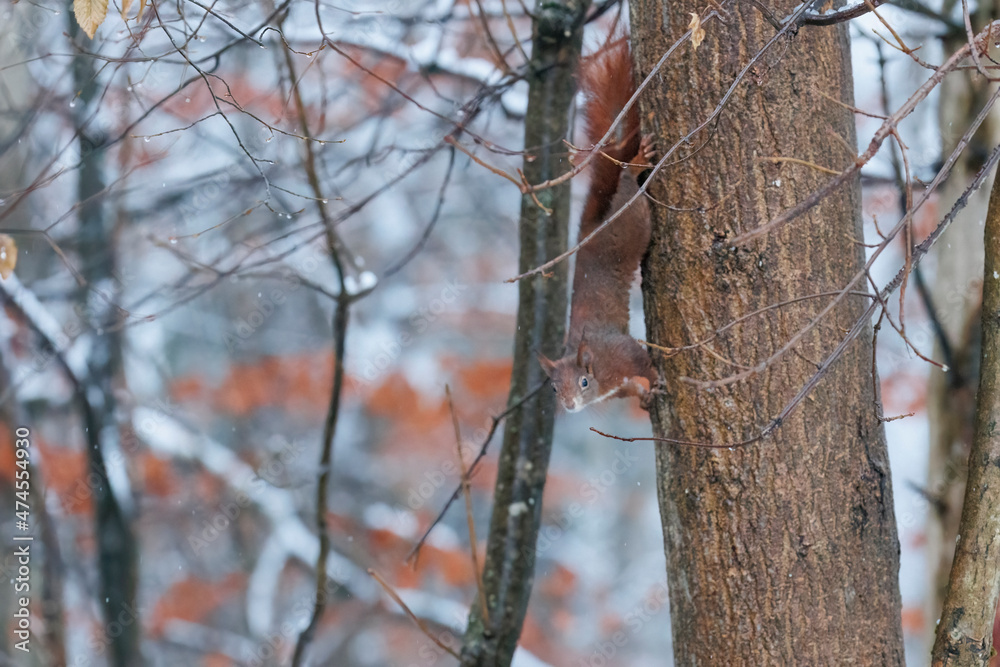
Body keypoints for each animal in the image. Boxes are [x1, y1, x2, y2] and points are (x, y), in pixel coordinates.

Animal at [538, 38, 659, 413]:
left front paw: (657, 381)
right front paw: (645, 397)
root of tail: (591, 225)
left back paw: (636, 163)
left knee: (627, 183)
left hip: (632, 221)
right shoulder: (617, 387)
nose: (569, 406)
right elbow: (632, 387)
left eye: (583, 381)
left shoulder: (623, 353)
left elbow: (644, 363)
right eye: (552, 388)